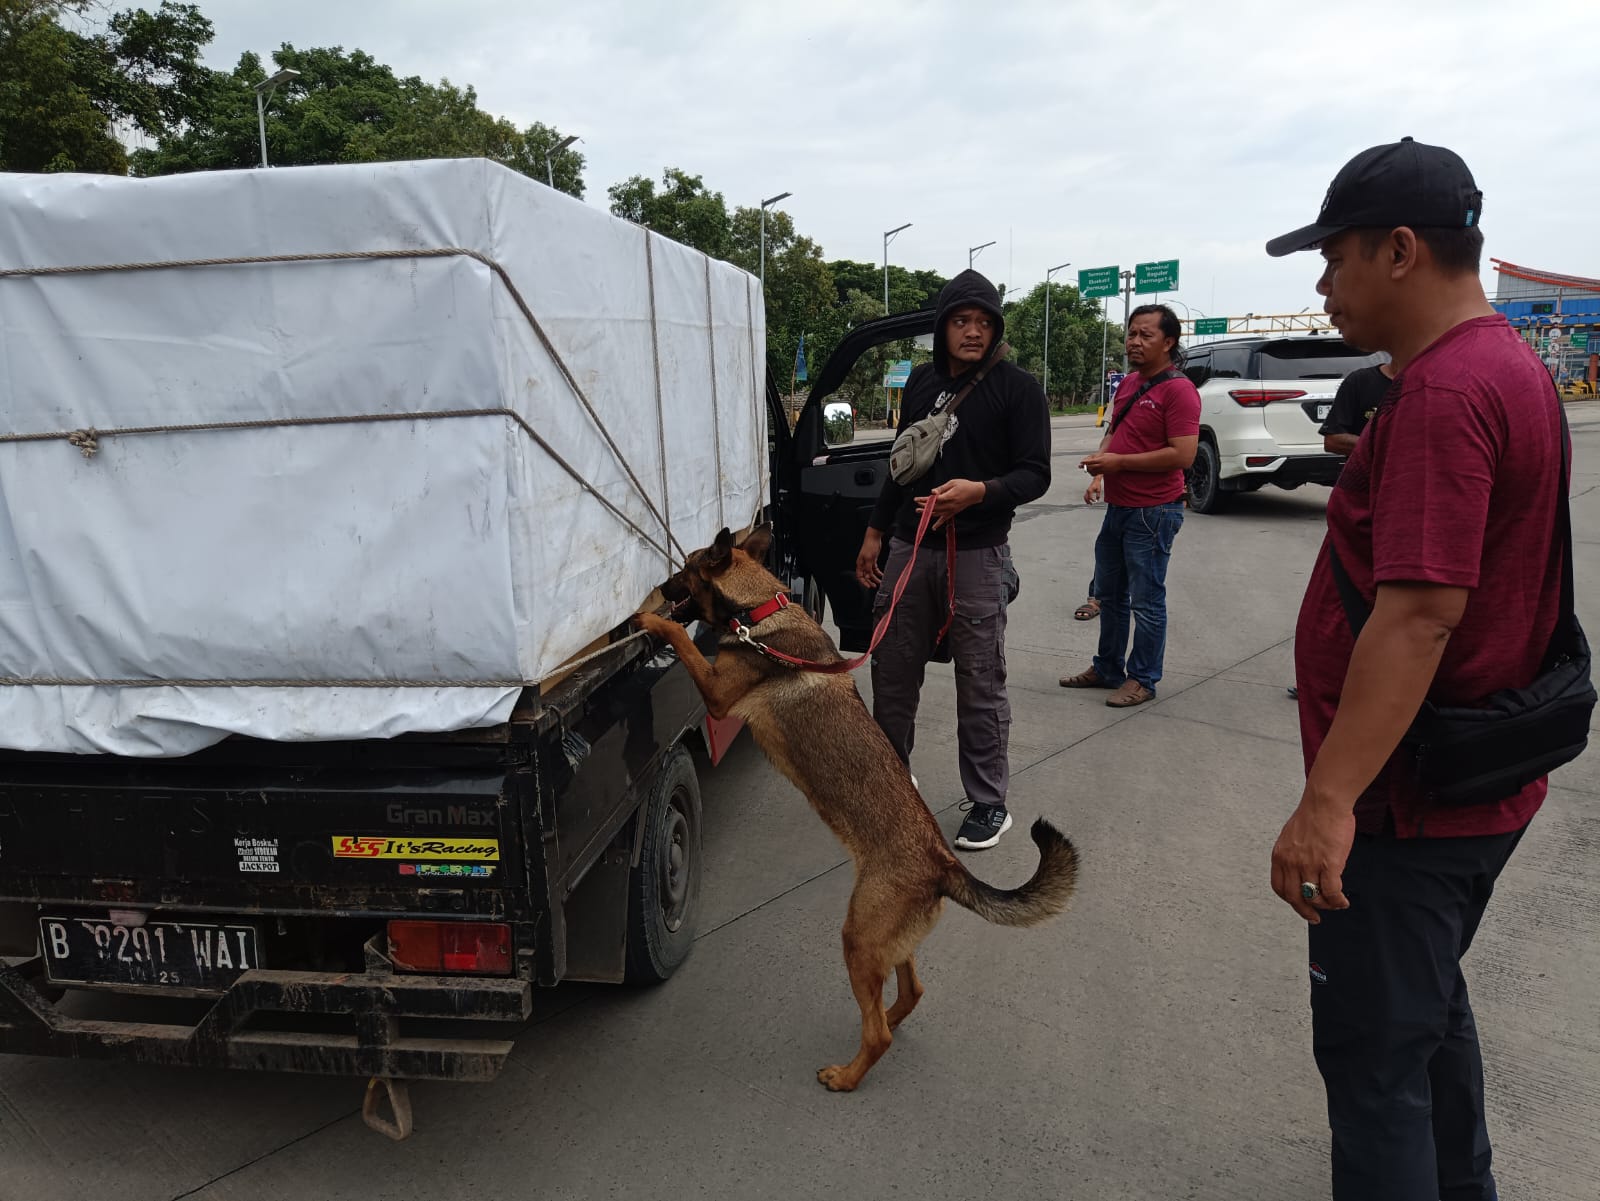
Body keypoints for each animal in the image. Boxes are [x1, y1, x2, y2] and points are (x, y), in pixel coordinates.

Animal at [633, 524, 1075, 1087]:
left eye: (685, 570)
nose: (659, 588)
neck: (759, 609)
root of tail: (942, 864)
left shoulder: (715, 691)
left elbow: (684, 640)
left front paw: (652, 621)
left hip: (858, 939)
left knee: (878, 1033)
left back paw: (846, 1075)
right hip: (887, 942)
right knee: (909, 993)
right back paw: (887, 1016)